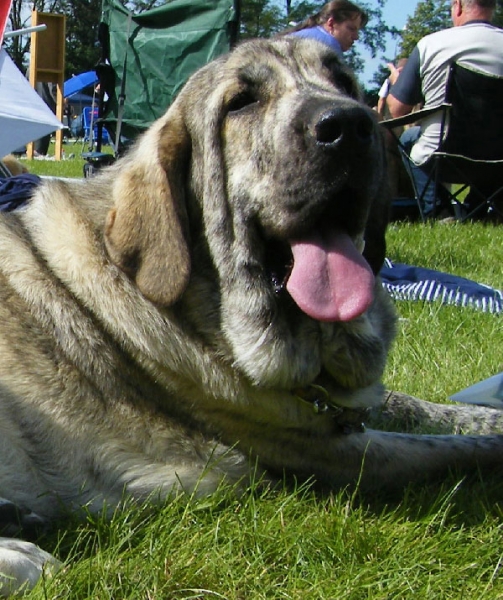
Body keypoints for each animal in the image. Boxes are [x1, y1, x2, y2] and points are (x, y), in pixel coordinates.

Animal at [0, 38, 503, 596]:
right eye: (241, 103)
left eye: (345, 84)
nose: (349, 124)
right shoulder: (333, 452)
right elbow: (457, 449)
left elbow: (421, 407)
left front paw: (482, 410)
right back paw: (19, 557)